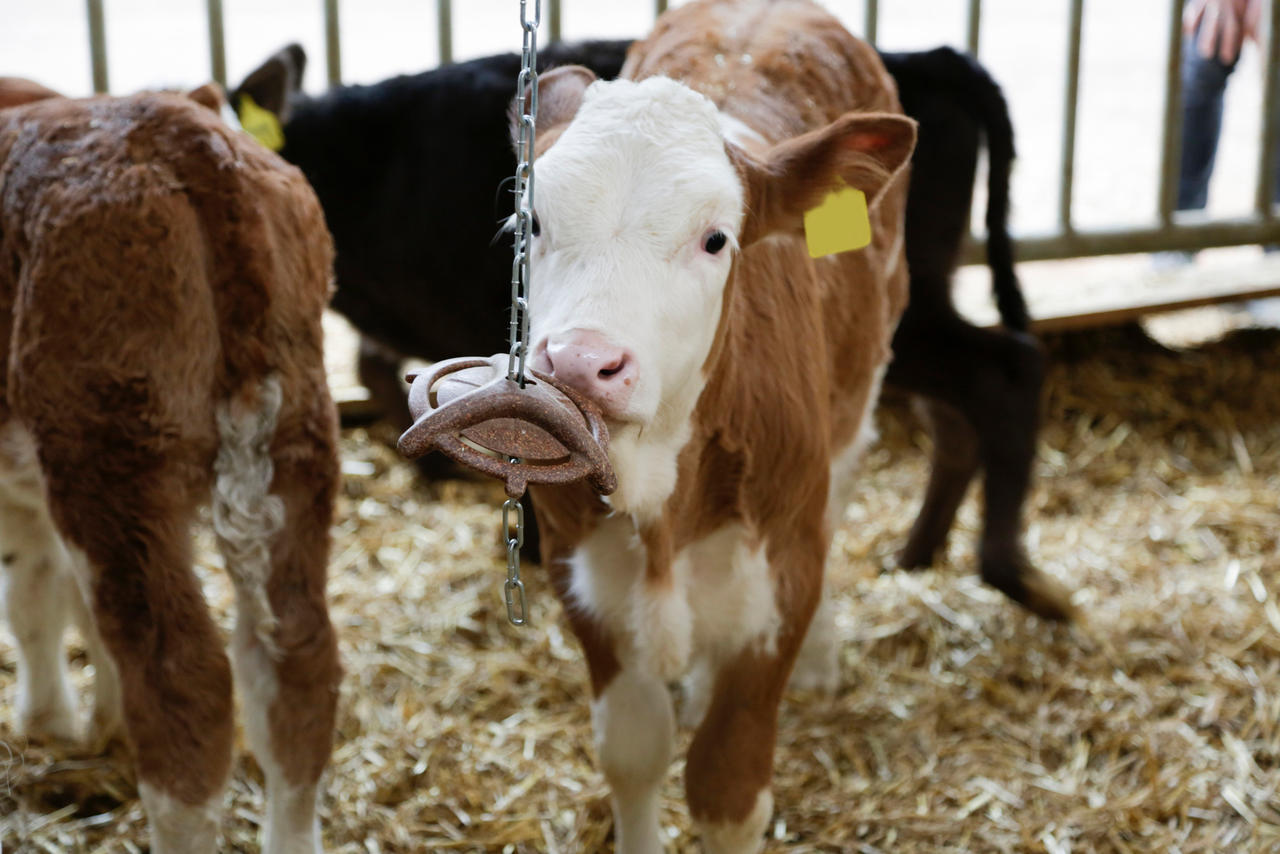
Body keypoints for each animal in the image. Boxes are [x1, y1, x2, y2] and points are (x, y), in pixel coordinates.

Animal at [0, 85, 340, 850]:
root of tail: (181, 133)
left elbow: (30, 593)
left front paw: (47, 720)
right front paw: (95, 724)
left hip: (111, 449)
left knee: (178, 678)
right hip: (298, 428)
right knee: (296, 656)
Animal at [519, 3, 921, 850]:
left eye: (715, 239)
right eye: (530, 220)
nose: (578, 364)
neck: (661, 496)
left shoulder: (780, 582)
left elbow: (728, 788)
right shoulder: (581, 574)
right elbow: (634, 751)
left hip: (856, 401)